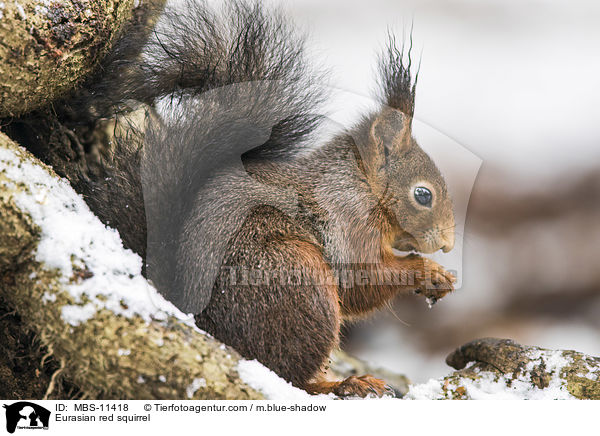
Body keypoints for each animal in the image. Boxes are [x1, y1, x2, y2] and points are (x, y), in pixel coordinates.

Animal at [5, 0, 454, 396]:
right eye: (423, 194)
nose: (449, 243)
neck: (361, 186)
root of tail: (192, 311)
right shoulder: (345, 221)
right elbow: (360, 280)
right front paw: (427, 272)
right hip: (296, 280)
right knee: (290, 375)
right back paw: (344, 384)